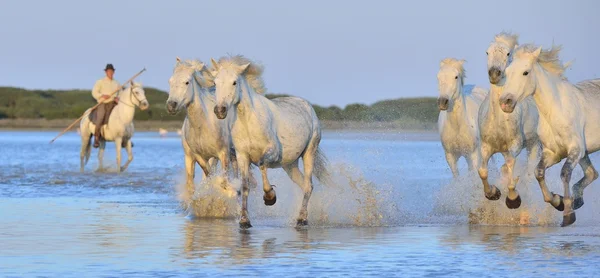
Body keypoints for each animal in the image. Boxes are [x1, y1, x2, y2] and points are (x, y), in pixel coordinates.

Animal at [166, 57, 241, 198]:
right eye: (170, 81)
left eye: (187, 82)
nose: (171, 105)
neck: (203, 125)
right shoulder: (199, 156)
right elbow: (209, 176)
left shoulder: (223, 153)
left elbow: (223, 180)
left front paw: (230, 192)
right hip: (192, 157)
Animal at [210, 54, 332, 228]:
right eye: (215, 82)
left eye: (234, 82)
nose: (220, 110)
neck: (249, 121)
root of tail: (308, 106)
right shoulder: (242, 156)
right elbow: (245, 185)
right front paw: (244, 221)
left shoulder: (272, 152)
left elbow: (262, 164)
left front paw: (270, 197)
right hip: (290, 164)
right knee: (303, 184)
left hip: (309, 152)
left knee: (309, 185)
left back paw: (302, 219)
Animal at [476, 32, 540, 208]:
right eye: (487, 52)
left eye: (507, 53)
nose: (494, 73)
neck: (499, 120)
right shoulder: (486, 146)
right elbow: (482, 171)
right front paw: (492, 193)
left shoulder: (515, 146)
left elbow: (511, 170)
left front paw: (513, 199)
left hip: (533, 145)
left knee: (529, 173)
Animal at [500, 43, 600, 226]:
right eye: (507, 71)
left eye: (526, 72)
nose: (505, 102)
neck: (556, 110)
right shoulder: (553, 153)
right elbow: (538, 172)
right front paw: (557, 201)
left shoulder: (575, 150)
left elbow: (565, 173)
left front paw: (567, 214)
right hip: (585, 154)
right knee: (592, 173)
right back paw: (577, 200)